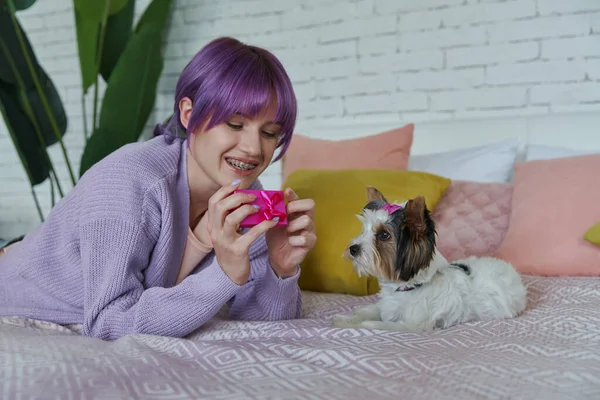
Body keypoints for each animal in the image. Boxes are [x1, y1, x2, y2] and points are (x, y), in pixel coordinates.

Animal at [330, 186, 528, 332]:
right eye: (364, 229)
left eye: (384, 235)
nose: (353, 248)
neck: (410, 286)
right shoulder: (387, 306)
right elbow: (370, 311)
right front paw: (346, 318)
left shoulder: (412, 325)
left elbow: (373, 323)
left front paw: (351, 323)